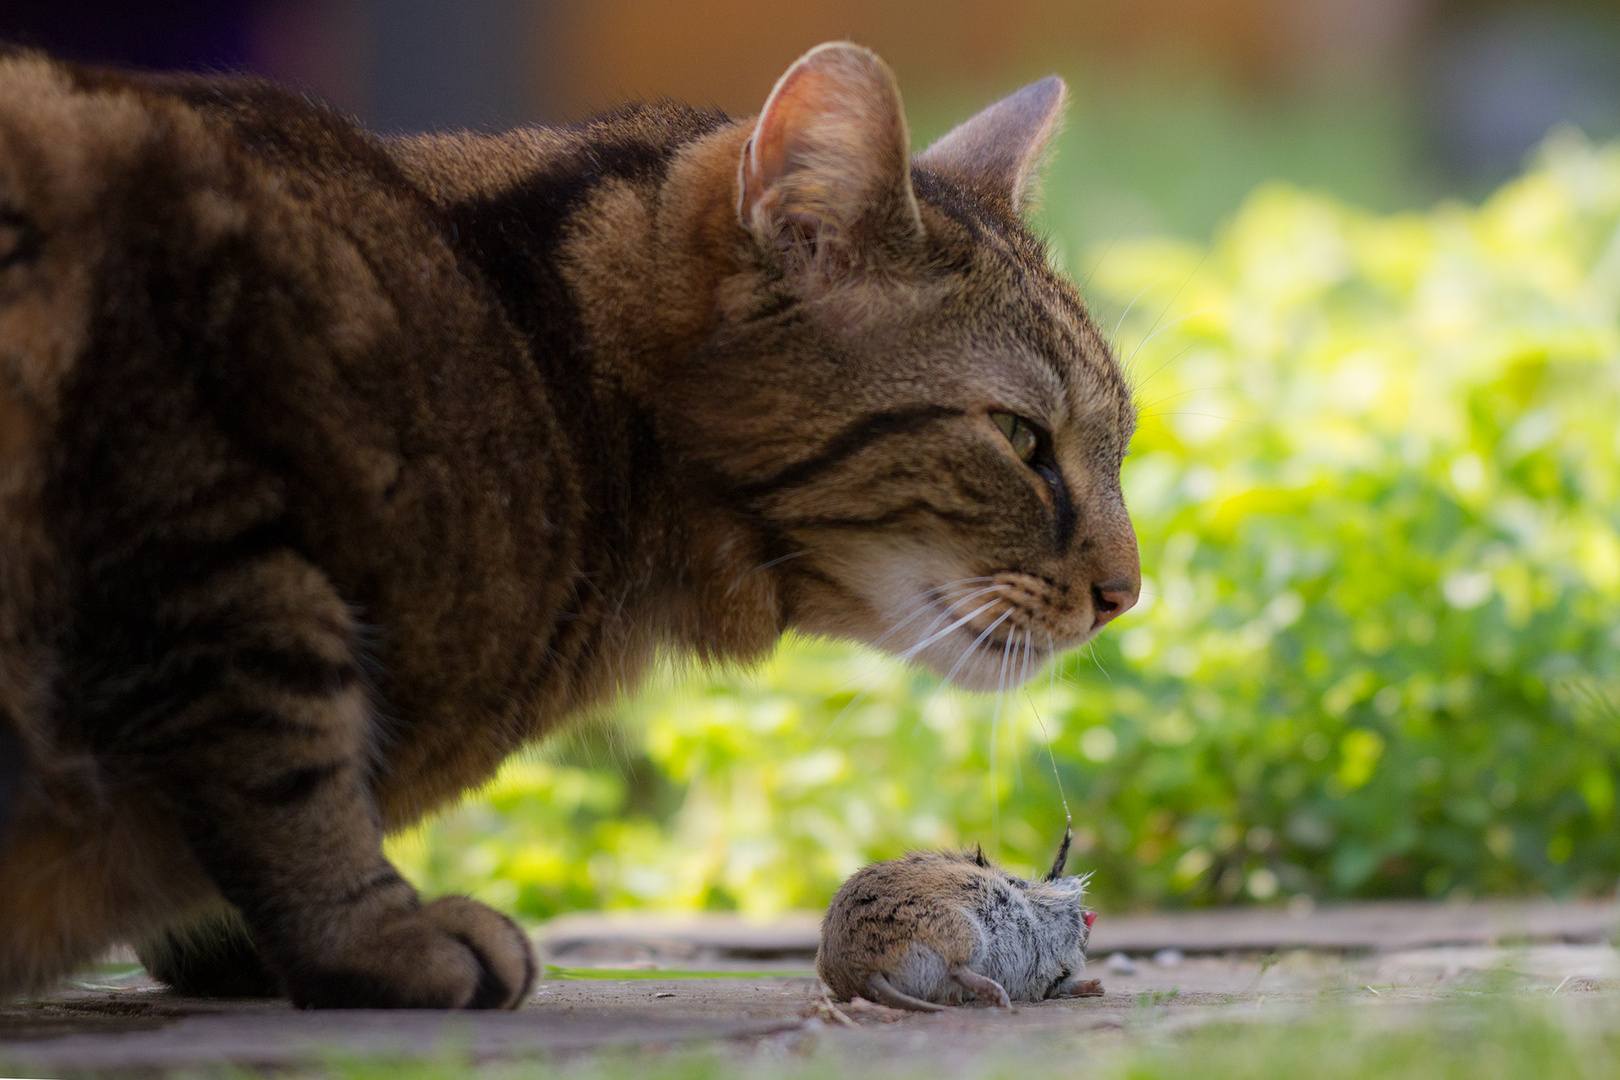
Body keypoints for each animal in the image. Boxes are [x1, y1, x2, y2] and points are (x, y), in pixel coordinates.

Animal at [0, 40, 1140, 1003]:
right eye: (1021, 439)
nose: (1127, 595)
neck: (545, 364)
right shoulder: (195, 505)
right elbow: (285, 753)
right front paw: (372, 936)